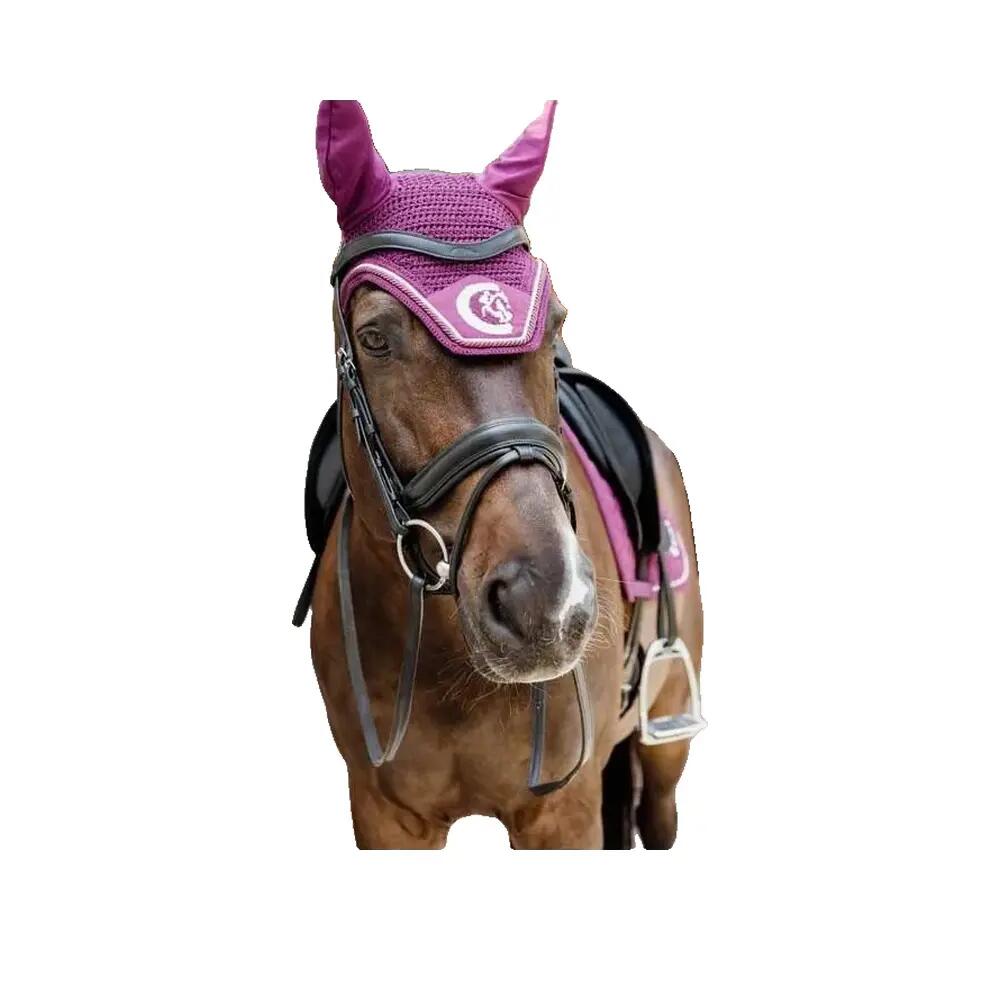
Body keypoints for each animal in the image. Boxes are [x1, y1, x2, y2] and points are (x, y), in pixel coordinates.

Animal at [302, 100, 704, 849]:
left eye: (555, 324)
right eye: (375, 337)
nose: (545, 603)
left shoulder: (560, 814)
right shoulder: (386, 816)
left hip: (668, 741)